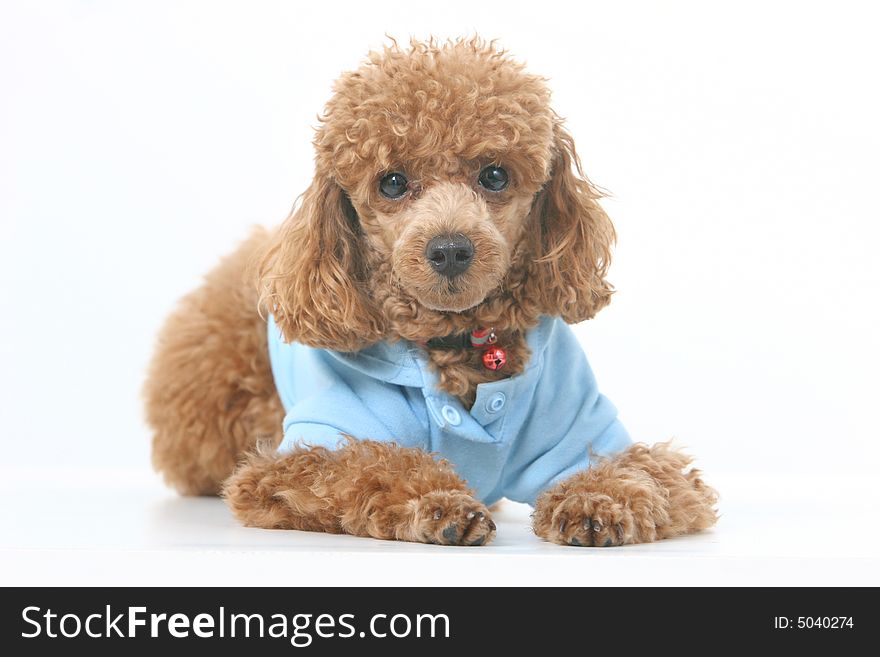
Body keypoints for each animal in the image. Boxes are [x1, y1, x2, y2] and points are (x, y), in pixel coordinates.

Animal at [144, 38, 720, 544]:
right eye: (392, 182)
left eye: (494, 175)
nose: (449, 250)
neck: (463, 344)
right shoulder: (296, 459)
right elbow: (367, 466)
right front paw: (440, 506)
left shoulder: (580, 429)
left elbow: (645, 472)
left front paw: (597, 502)